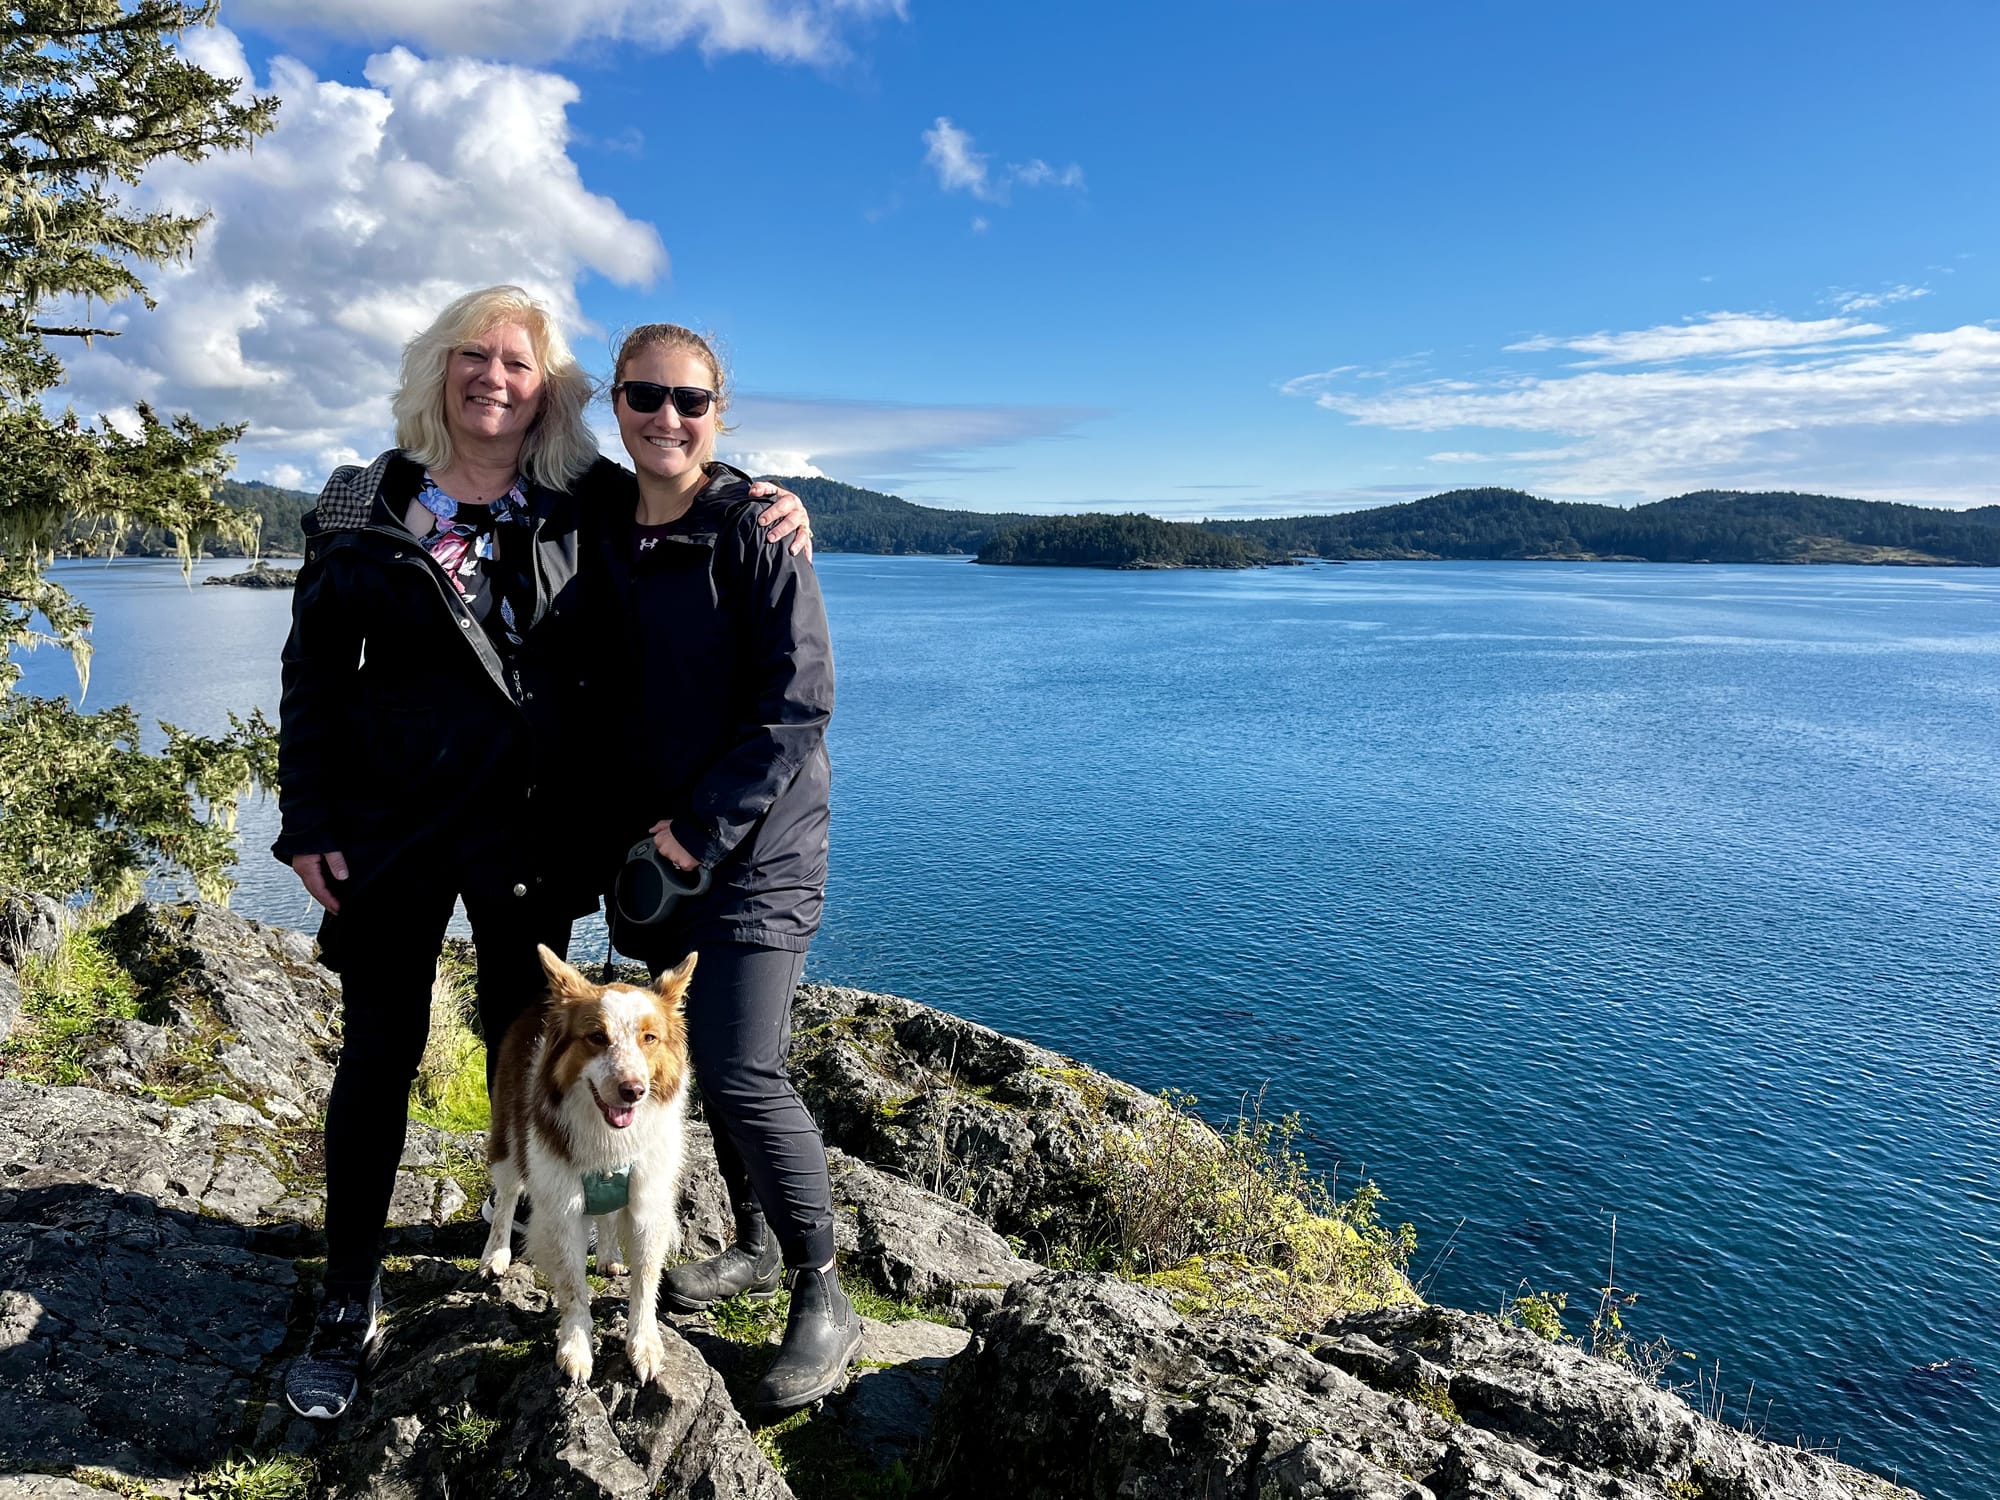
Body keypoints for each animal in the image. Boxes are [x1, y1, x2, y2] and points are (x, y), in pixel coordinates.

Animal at [479, 944, 695, 1385]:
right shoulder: (562, 1205)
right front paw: (576, 1348)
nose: (633, 1091)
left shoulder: (647, 1200)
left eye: (649, 1038)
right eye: (597, 1037)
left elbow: (645, 1281)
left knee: (609, 1215)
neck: (609, 1141)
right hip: (508, 1138)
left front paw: (644, 1345)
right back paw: (496, 1255)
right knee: (507, 1197)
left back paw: (610, 1255)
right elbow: (572, 1286)